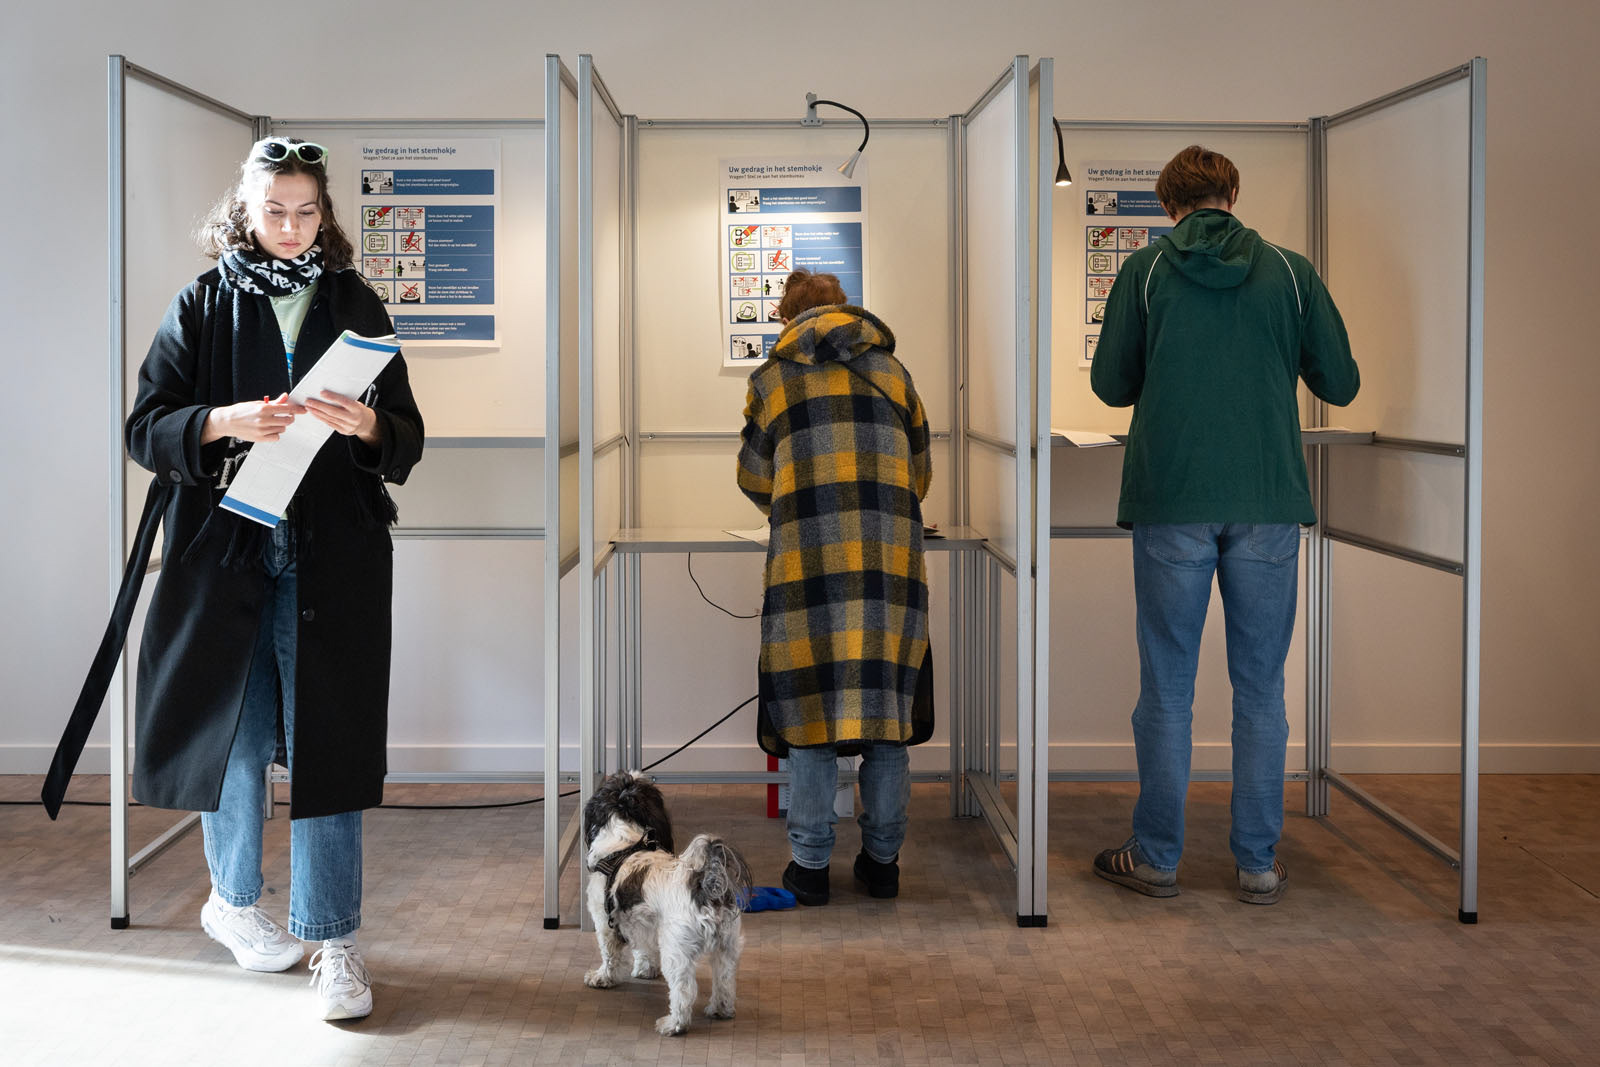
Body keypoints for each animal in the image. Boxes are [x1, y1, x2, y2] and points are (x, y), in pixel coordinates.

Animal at [582, 771, 751, 1036]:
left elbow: (609, 954)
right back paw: (720, 1010)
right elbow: (643, 948)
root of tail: (706, 883)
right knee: (724, 980)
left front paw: (602, 978)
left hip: (676, 948)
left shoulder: (605, 921)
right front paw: (645, 970)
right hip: (727, 946)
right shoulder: (641, 923)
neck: (624, 844)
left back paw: (674, 1024)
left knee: (683, 989)